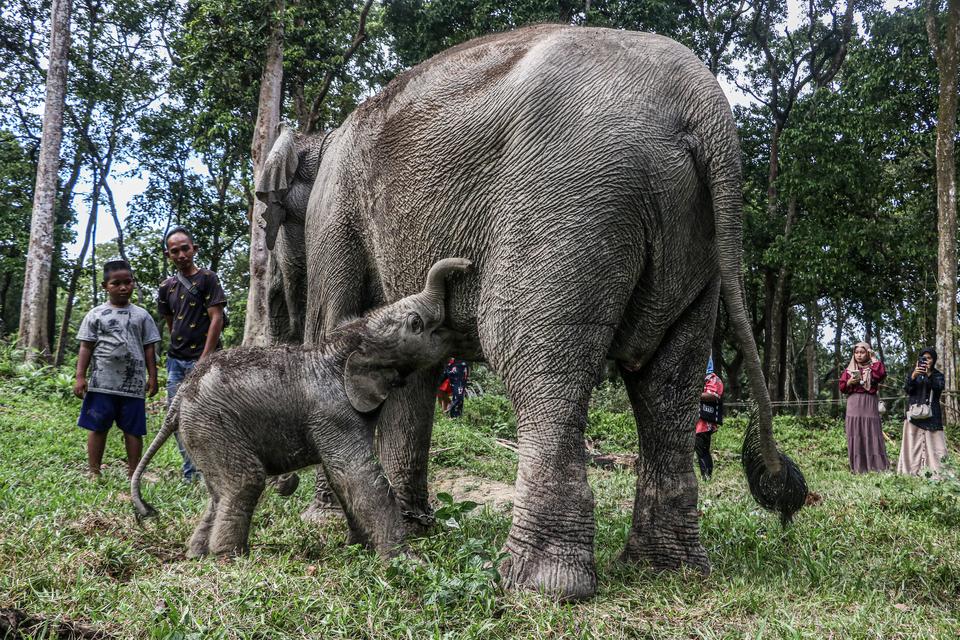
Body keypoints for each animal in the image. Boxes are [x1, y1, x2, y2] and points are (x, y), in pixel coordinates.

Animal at [132, 258, 472, 556]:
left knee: (219, 493)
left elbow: (340, 477)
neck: (346, 342)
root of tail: (177, 400)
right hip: (213, 427)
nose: (467, 264)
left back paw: (198, 554)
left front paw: (359, 549)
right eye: (415, 323)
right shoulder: (331, 411)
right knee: (245, 482)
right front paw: (406, 561)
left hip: (201, 433)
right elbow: (359, 474)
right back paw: (229, 557)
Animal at [258, 25, 808, 604]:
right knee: (668, 382)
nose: (282, 483)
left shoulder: (334, 211)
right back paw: (667, 569)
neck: (321, 137)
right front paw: (409, 527)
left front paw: (323, 523)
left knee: (535, 358)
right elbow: (411, 366)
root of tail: (704, 107)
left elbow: (337, 331)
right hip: (694, 243)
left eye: (268, 213)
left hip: (569, 204)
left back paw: (537, 584)